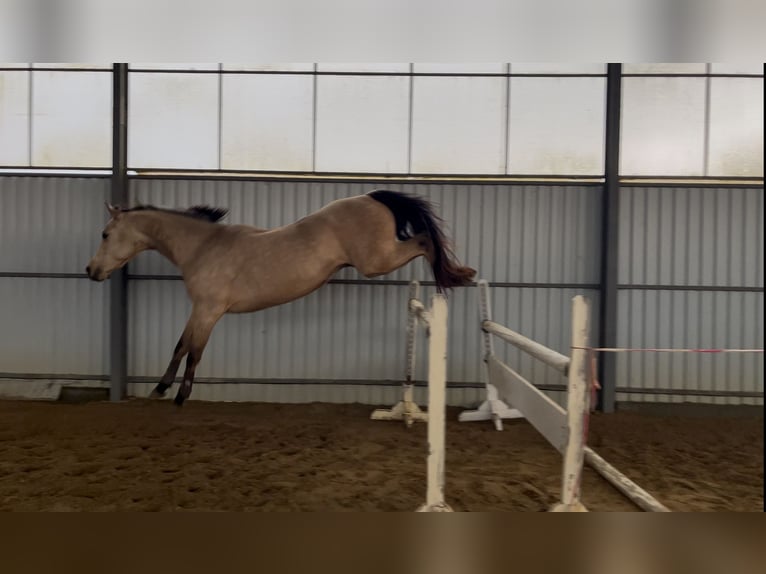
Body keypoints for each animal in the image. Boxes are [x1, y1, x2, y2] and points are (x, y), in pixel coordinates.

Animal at [86, 190, 476, 406]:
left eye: (105, 234)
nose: (91, 271)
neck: (202, 246)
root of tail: (370, 197)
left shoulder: (209, 310)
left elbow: (194, 351)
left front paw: (181, 397)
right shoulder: (199, 310)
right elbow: (180, 346)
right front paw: (160, 389)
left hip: (377, 261)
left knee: (424, 240)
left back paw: (459, 273)